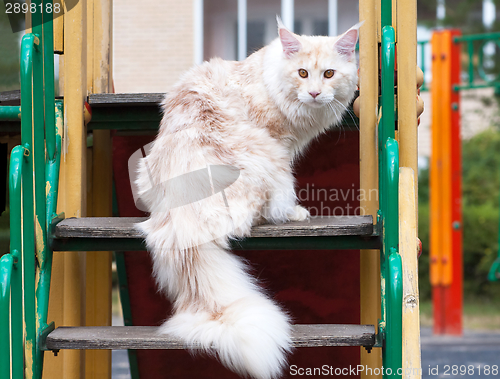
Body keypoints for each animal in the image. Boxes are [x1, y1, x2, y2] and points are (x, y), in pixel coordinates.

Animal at [135, 17, 362, 379]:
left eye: (328, 74)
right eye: (302, 73)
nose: (314, 93)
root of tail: (183, 213)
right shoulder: (280, 143)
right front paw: (295, 212)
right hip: (268, 159)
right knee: (262, 211)